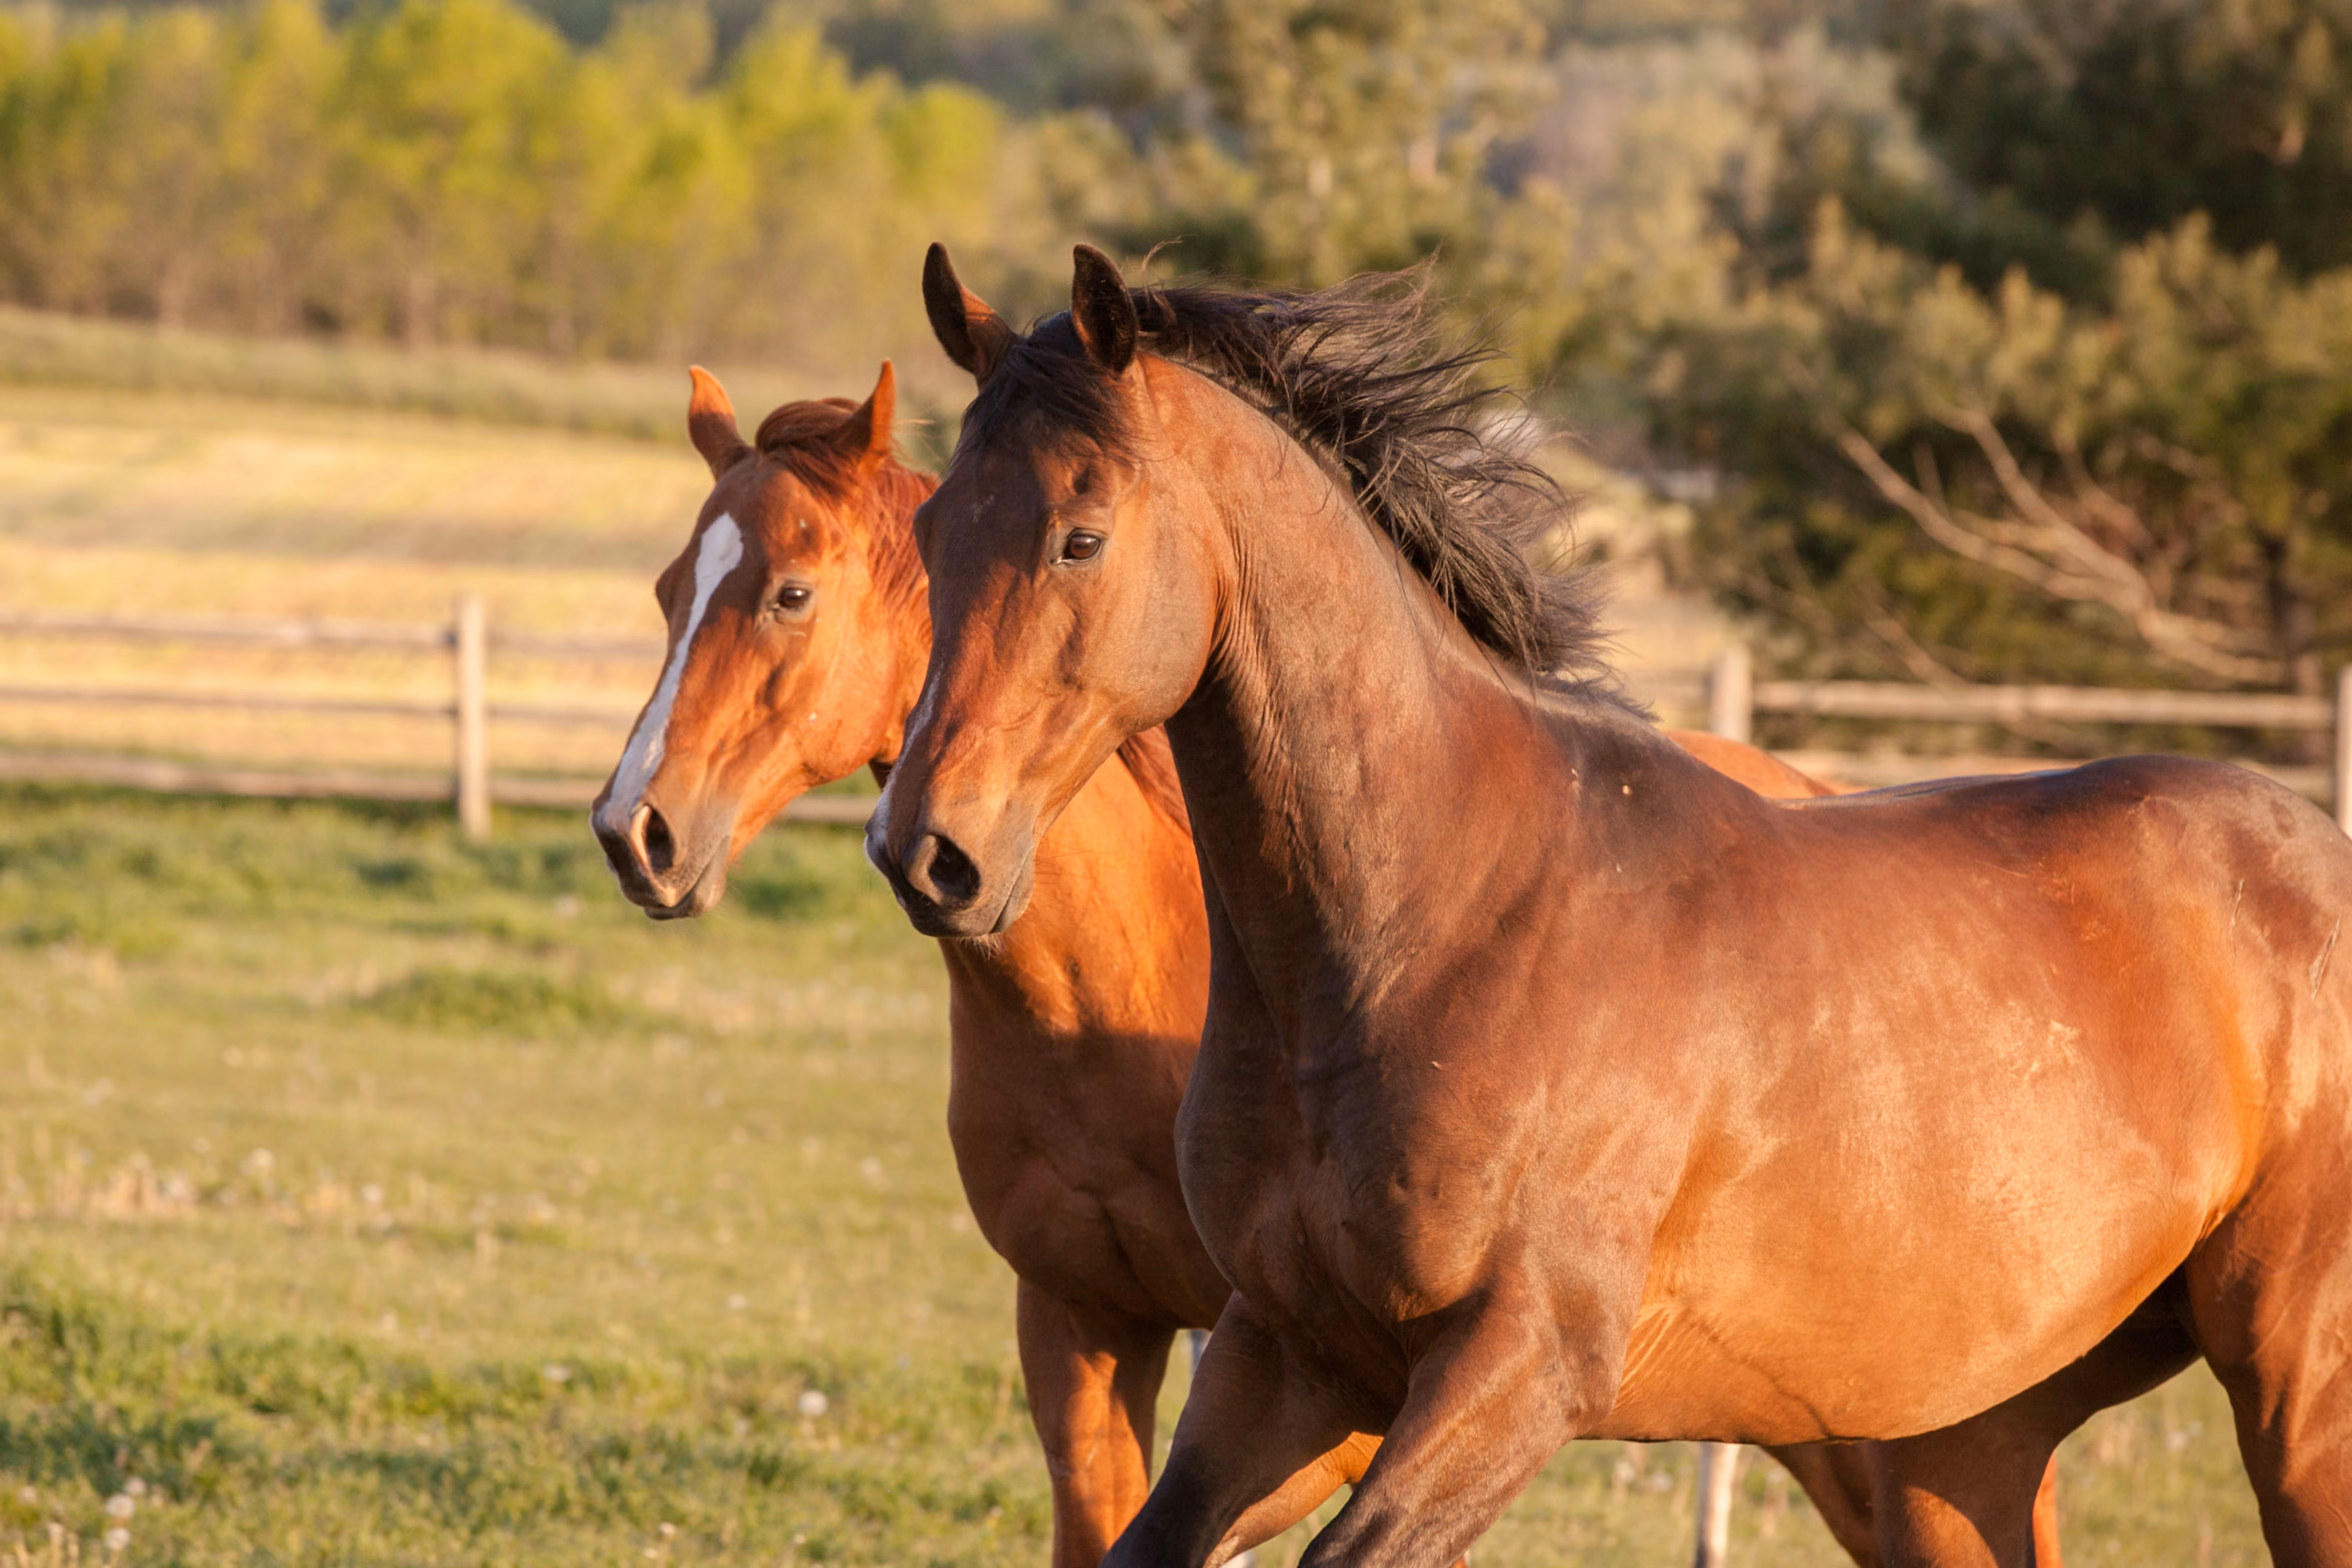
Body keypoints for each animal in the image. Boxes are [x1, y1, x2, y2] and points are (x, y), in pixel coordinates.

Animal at [585, 365, 2063, 1566]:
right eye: (667, 592)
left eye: (790, 593)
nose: (632, 828)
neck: (1114, 990)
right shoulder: (1083, 1320)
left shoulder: (1345, 1378)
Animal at [872, 243, 2349, 1568]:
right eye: (932, 530)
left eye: (1079, 536)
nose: (925, 852)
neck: (1435, 925)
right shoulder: (1284, 1355)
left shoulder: (1518, 1369)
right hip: (1961, 1446)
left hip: (2293, 1398)